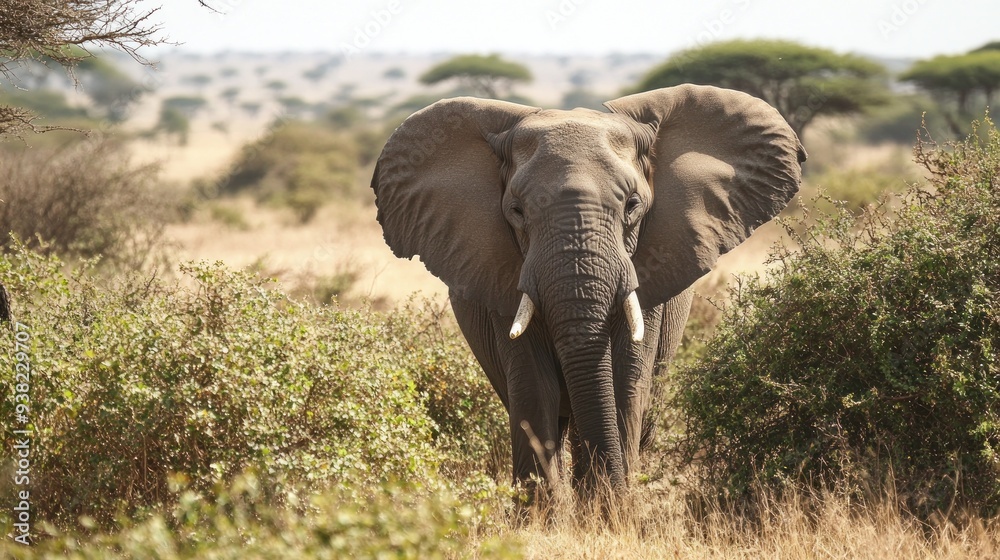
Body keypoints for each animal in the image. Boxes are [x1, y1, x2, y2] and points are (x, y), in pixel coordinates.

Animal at [370, 85, 806, 493]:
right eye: (516, 211)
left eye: (632, 205)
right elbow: (534, 389)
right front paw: (548, 516)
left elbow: (624, 383)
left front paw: (611, 512)